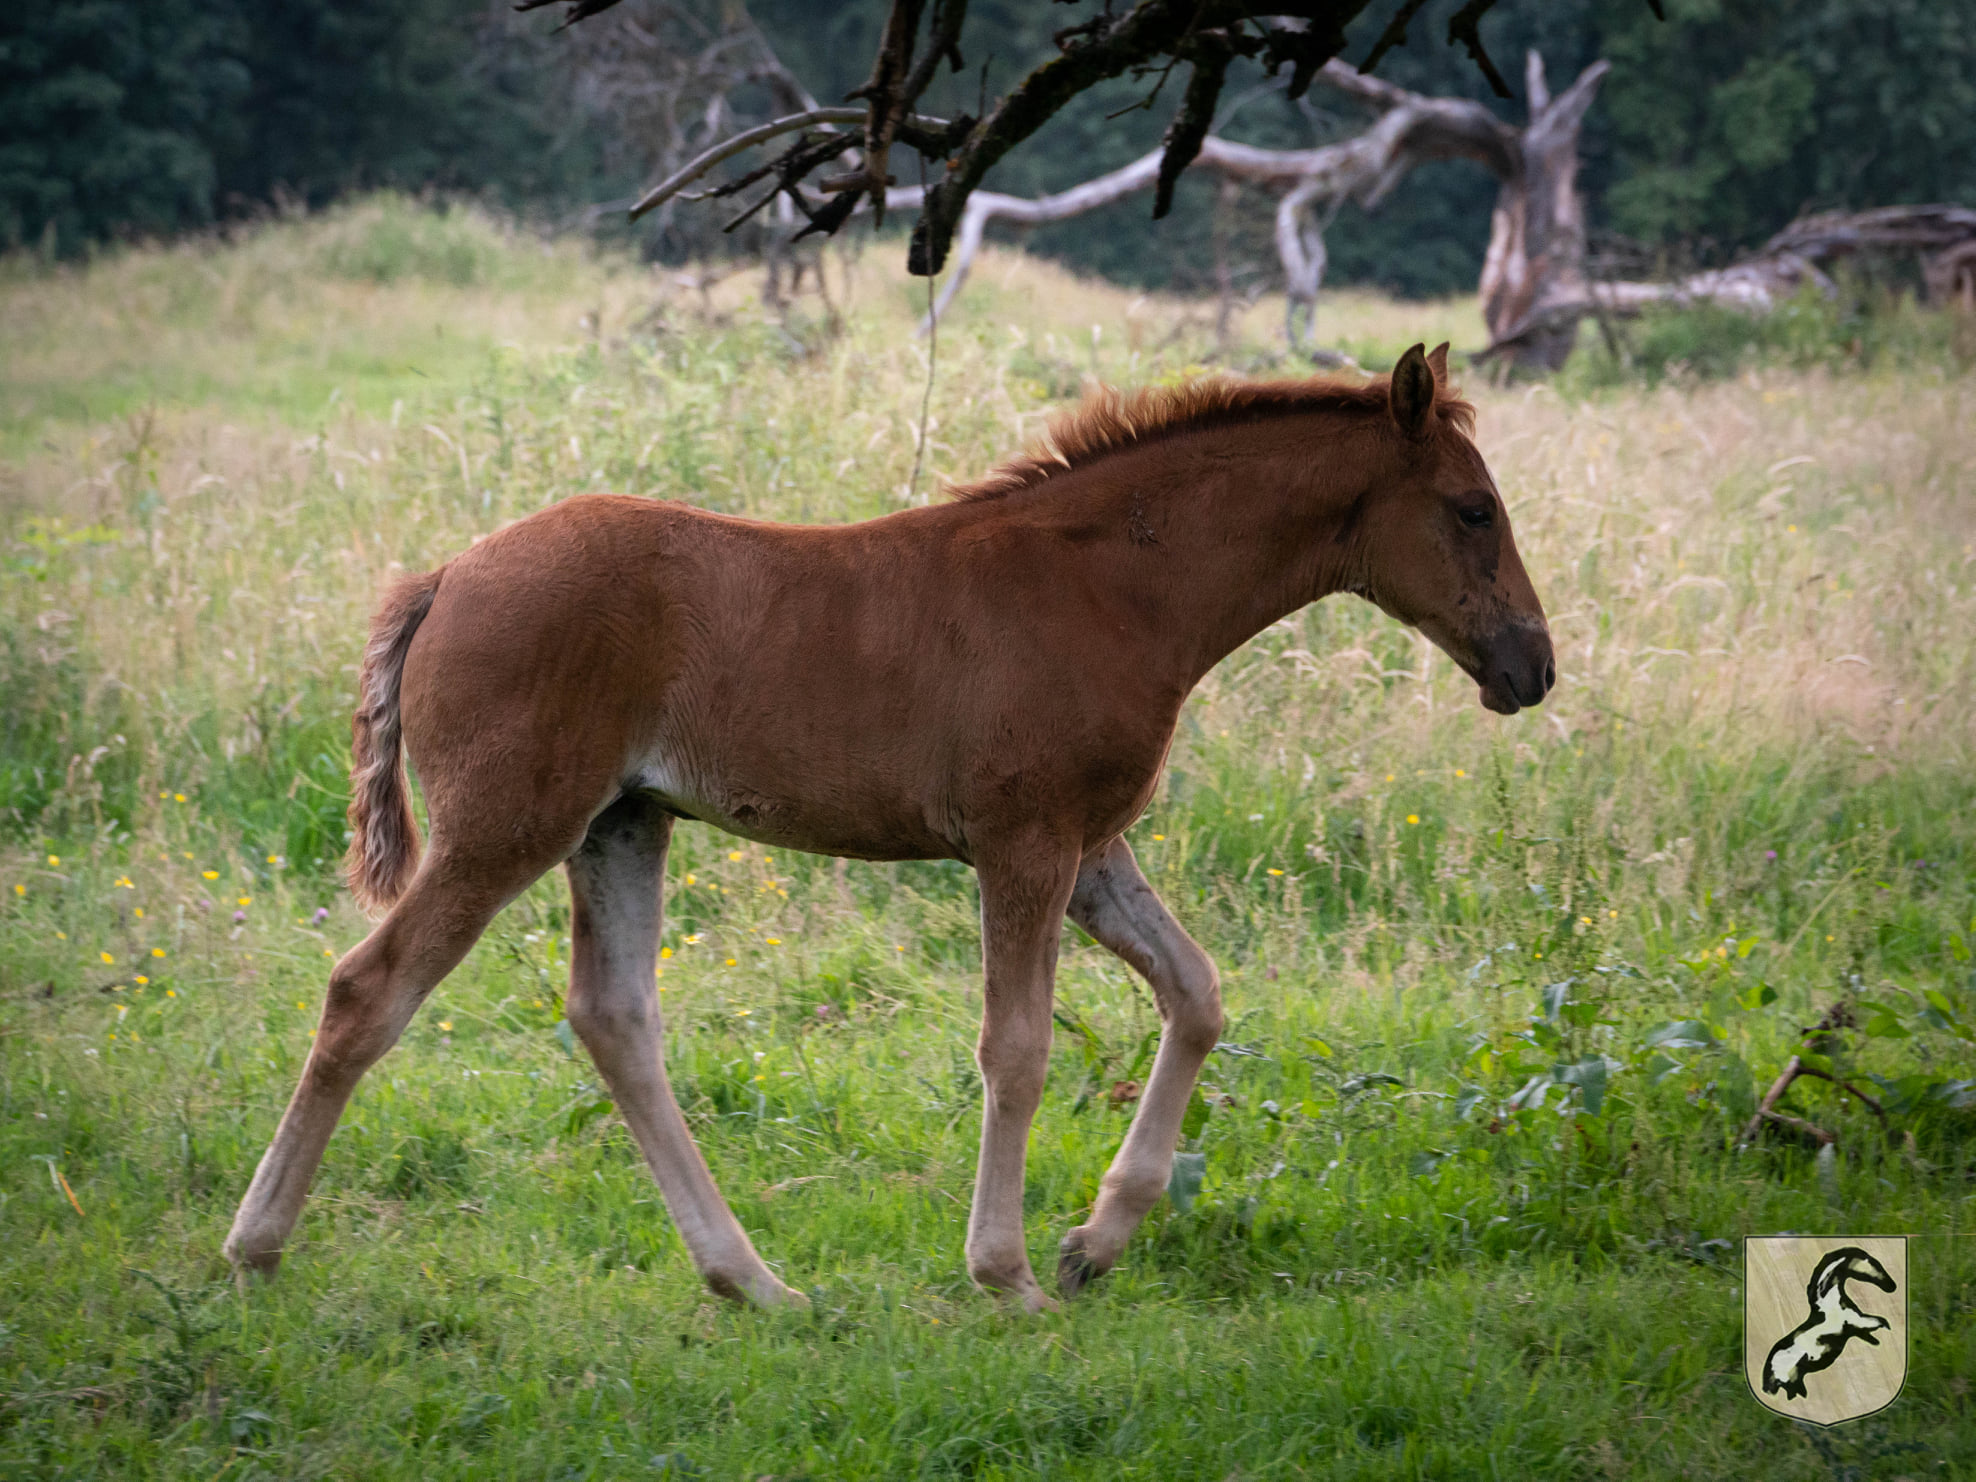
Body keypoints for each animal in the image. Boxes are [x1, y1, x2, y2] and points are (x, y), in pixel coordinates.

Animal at [227, 345, 1557, 1312]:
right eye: (1471, 508)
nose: (1530, 667)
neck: (1113, 584)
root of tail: (445, 577)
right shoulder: (1024, 845)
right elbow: (1016, 1047)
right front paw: (1007, 1274)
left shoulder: (1091, 850)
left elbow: (1197, 994)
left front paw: (1095, 1241)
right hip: (510, 822)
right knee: (368, 992)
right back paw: (255, 1246)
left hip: (621, 824)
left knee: (614, 1021)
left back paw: (752, 1282)